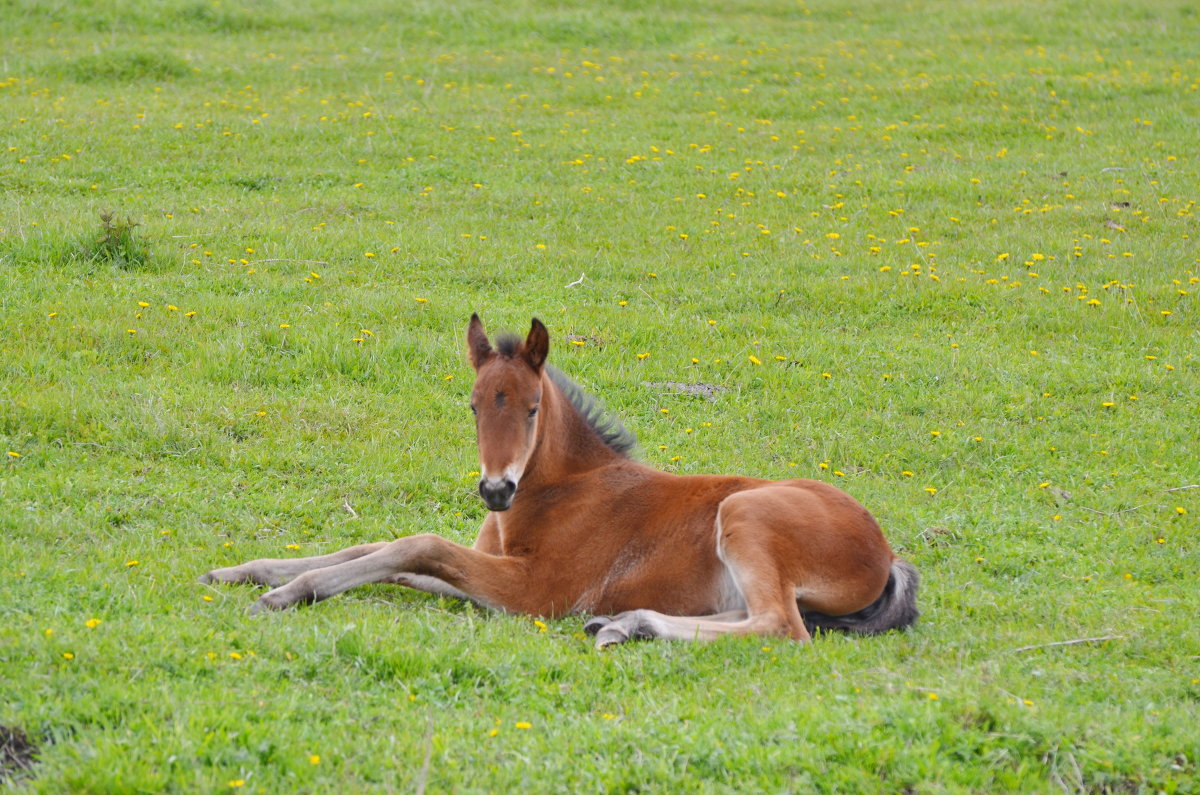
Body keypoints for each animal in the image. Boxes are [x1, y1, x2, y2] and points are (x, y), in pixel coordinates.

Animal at [204, 314, 916, 653]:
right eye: (472, 406)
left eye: (529, 409)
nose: (494, 490)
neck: (559, 490)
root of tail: (886, 553)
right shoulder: (492, 572)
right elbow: (380, 553)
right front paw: (246, 570)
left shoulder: (535, 590)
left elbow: (416, 545)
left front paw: (287, 593)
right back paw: (622, 623)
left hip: (747, 514)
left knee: (781, 627)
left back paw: (626, 626)